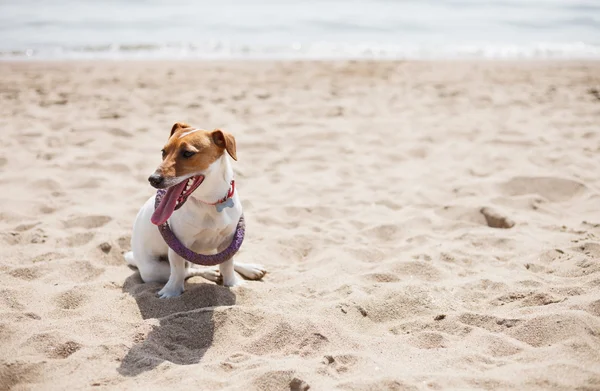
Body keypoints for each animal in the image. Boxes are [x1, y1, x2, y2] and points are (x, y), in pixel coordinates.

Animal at [124, 124, 264, 298]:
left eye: (187, 153)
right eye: (163, 152)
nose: (153, 179)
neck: (210, 203)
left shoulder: (228, 240)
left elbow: (227, 263)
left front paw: (232, 283)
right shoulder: (178, 244)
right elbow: (178, 270)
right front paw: (171, 292)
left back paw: (250, 268)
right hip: (154, 270)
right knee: (188, 270)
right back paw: (210, 272)